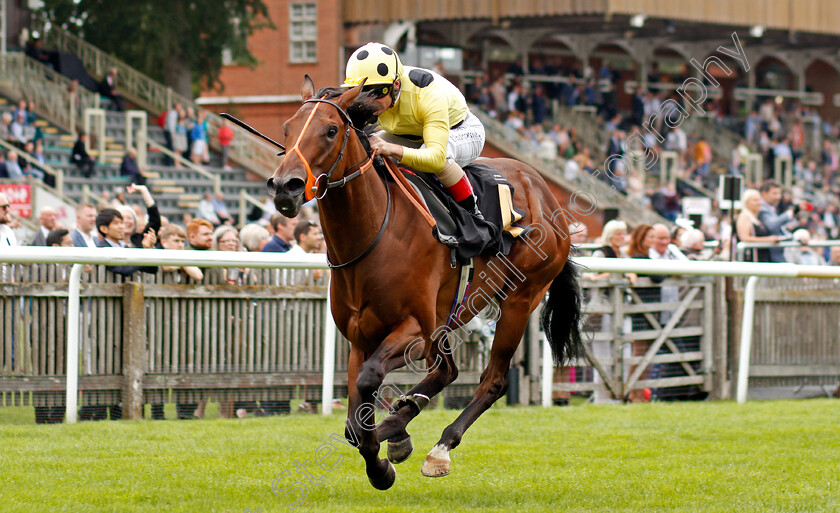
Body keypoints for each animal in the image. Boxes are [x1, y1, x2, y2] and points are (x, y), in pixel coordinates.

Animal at [270, 76, 584, 488]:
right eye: (286, 129)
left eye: (331, 130)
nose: (284, 187)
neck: (374, 234)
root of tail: (545, 191)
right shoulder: (360, 337)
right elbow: (354, 416)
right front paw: (386, 442)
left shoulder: (415, 330)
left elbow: (369, 383)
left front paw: (380, 466)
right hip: (452, 312)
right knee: (447, 370)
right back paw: (401, 422)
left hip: (519, 299)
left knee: (493, 380)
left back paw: (438, 447)